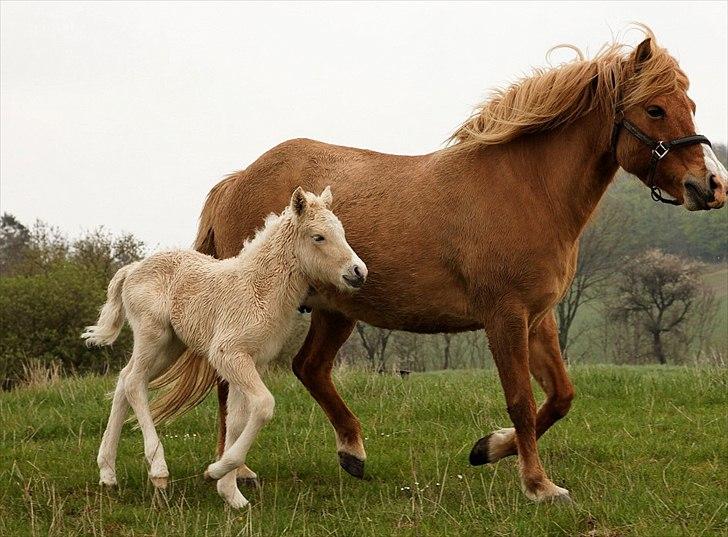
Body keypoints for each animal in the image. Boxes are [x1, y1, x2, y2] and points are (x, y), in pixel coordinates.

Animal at [82, 186, 366, 504]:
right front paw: (216, 471)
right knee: (133, 383)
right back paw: (158, 470)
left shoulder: (252, 360)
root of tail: (132, 269)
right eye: (318, 236)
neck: (259, 289)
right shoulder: (228, 355)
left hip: (171, 346)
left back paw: (108, 473)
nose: (358, 272)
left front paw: (231, 493)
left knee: (124, 380)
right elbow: (263, 406)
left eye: (342, 232)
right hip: (152, 335)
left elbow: (238, 418)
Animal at [151, 30, 724, 502]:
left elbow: (560, 398)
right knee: (229, 384)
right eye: (655, 110)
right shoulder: (504, 317)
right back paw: (236, 470)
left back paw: (351, 452)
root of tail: (237, 179)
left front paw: (488, 448)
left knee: (309, 368)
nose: (710, 185)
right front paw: (538, 485)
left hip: (338, 309)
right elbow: (520, 399)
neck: (526, 190)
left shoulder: (539, 318)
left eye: (690, 104)